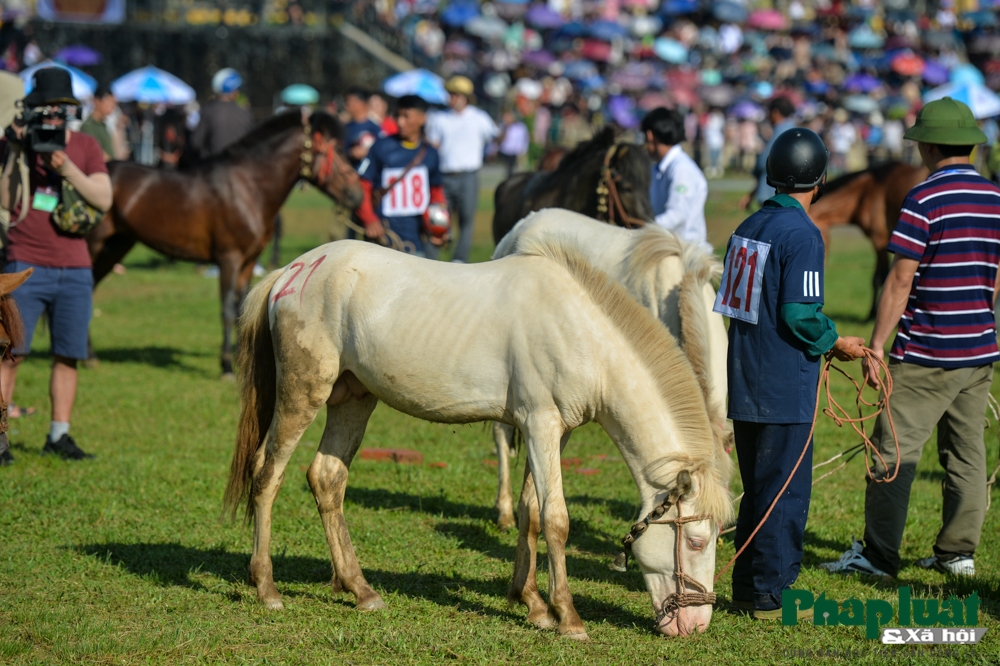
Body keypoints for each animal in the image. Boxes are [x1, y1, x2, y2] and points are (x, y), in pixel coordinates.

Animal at [84, 111, 362, 376]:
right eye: (336, 150)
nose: (356, 193)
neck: (247, 187)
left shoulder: (248, 261)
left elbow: (241, 309)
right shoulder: (230, 258)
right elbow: (228, 310)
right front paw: (226, 366)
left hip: (117, 245)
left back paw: (90, 355)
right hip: (93, 244)